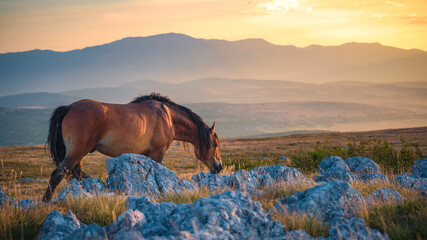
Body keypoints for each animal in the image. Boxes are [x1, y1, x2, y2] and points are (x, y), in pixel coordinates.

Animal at [42, 93, 224, 202]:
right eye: (215, 144)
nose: (219, 167)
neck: (169, 117)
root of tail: (68, 108)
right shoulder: (157, 153)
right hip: (75, 153)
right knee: (57, 175)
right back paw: (46, 202)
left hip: (78, 155)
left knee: (78, 175)